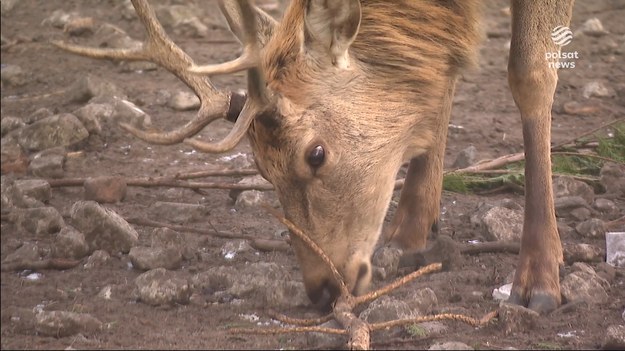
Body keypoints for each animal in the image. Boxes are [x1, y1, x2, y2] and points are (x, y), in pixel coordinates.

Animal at [54, 0, 576, 314]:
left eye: (316, 152)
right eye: (260, 167)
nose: (323, 290)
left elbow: (530, 72)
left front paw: (538, 280)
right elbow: (441, 65)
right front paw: (410, 235)